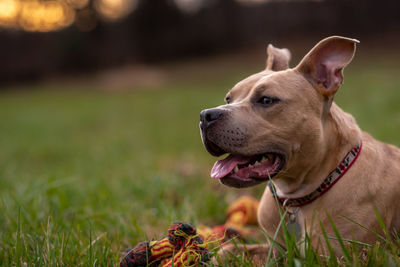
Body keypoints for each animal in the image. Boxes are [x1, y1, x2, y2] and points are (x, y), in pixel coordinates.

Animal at [199, 36, 400, 262]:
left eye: (266, 100)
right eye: (228, 99)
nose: (206, 115)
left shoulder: (335, 256)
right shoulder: (275, 249)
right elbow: (232, 250)